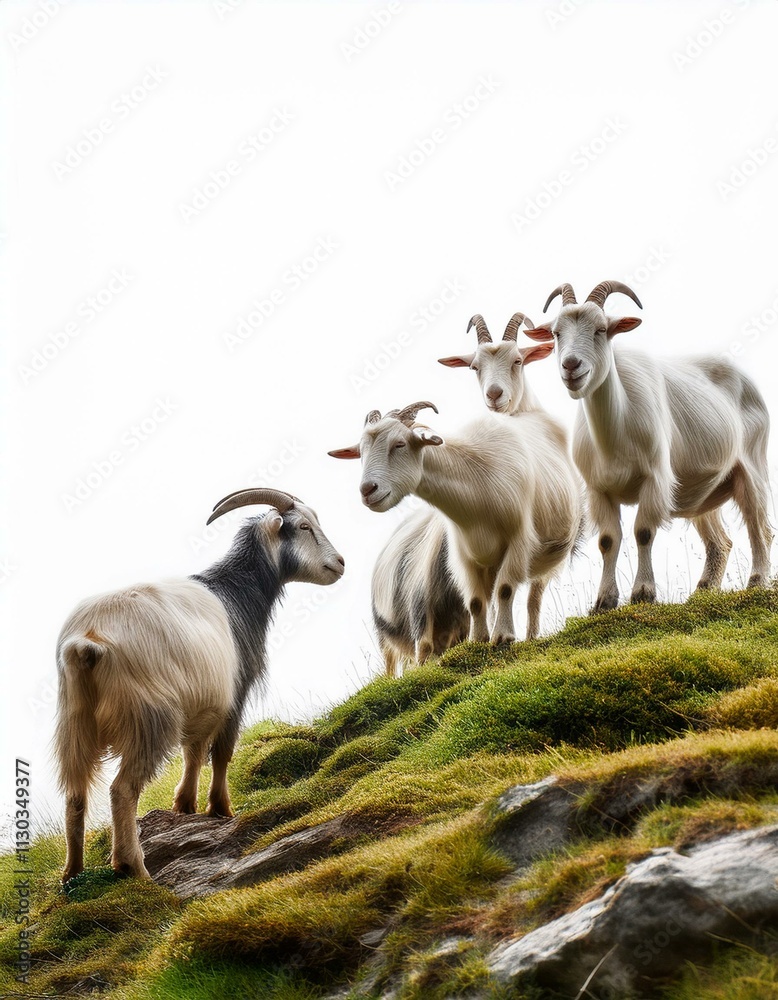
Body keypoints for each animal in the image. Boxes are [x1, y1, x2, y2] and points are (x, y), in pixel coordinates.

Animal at [55, 488, 344, 882]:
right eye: (303, 526)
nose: (340, 564)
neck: (234, 591)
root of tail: (87, 641)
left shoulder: (201, 703)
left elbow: (192, 752)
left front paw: (185, 805)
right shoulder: (235, 692)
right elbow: (222, 751)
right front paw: (220, 808)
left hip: (76, 720)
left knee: (75, 792)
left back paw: (73, 873)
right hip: (150, 717)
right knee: (122, 790)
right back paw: (134, 867)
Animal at [329, 402, 582, 644]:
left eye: (399, 444)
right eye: (361, 451)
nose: (367, 490)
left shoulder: (519, 541)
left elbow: (505, 589)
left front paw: (503, 636)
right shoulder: (462, 556)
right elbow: (476, 602)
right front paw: (478, 639)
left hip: (550, 557)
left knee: (533, 598)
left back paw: (530, 636)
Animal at [525, 280, 772, 610]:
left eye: (601, 329)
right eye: (555, 333)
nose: (570, 366)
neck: (614, 438)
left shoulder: (654, 479)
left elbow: (643, 532)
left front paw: (643, 592)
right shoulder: (598, 490)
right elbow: (607, 540)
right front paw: (604, 600)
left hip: (752, 465)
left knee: (759, 526)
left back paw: (757, 581)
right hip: (701, 491)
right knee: (721, 540)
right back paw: (703, 590)